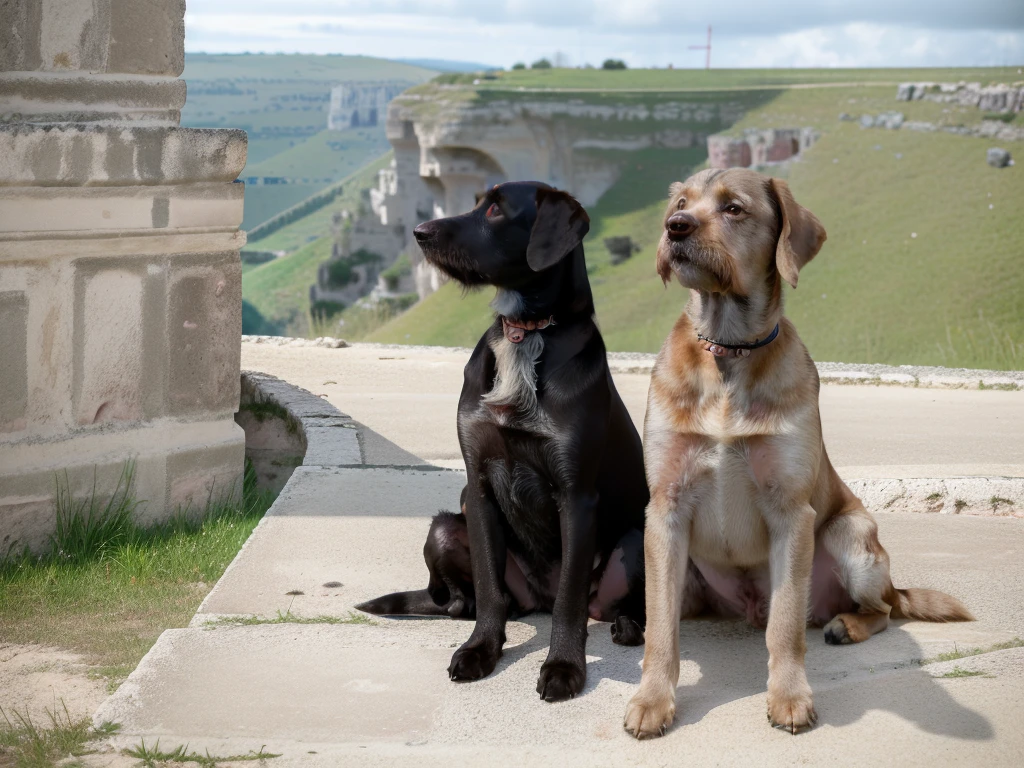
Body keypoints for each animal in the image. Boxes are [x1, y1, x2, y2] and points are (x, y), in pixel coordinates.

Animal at [358, 182, 647, 704]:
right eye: (474, 201)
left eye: (496, 208)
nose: (420, 232)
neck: (525, 334)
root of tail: (537, 597)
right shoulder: (479, 485)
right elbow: (491, 591)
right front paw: (481, 651)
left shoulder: (576, 495)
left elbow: (570, 601)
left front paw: (564, 666)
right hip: (445, 527)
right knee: (463, 603)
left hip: (637, 540)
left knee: (612, 605)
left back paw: (627, 626)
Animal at [622, 169, 966, 741]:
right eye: (679, 203)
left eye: (734, 208)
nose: (676, 227)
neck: (728, 352)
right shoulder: (665, 508)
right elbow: (661, 630)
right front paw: (652, 698)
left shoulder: (791, 512)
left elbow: (784, 625)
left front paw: (788, 695)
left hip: (852, 537)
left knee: (884, 609)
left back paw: (847, 624)